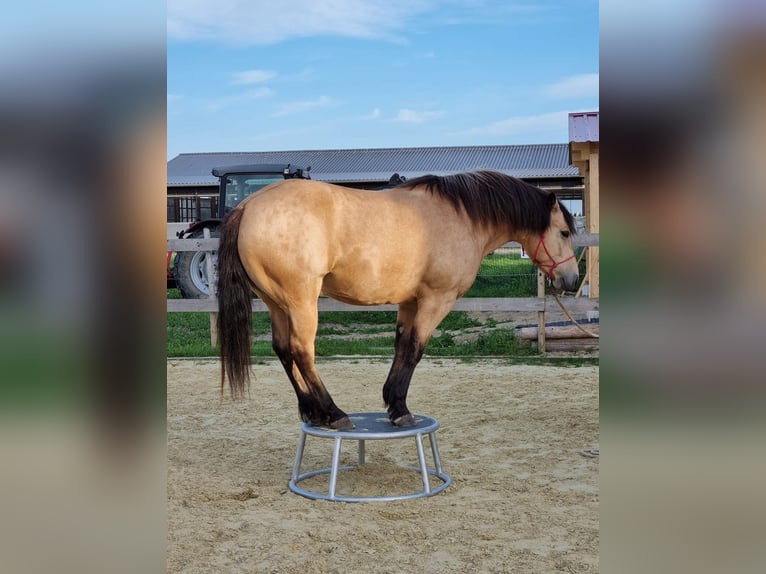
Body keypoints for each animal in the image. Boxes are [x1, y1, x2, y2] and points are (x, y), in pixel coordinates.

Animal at [216, 170, 579, 430]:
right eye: (564, 232)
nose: (572, 280)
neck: (461, 216)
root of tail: (247, 206)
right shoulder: (437, 300)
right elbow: (416, 349)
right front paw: (401, 409)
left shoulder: (410, 301)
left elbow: (401, 345)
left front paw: (391, 401)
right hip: (301, 302)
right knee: (302, 351)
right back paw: (333, 413)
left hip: (275, 302)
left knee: (282, 349)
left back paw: (311, 411)